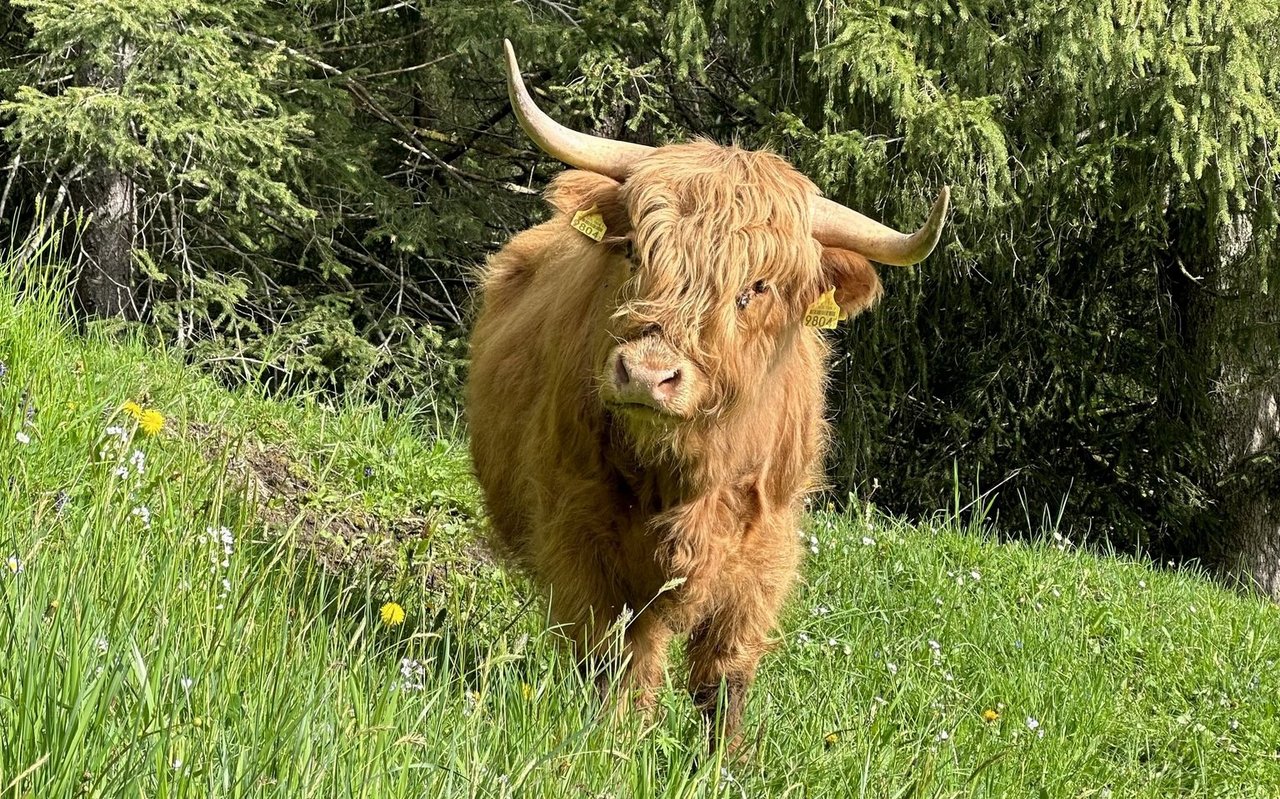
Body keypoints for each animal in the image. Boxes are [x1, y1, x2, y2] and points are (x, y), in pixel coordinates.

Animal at [471, 40, 952, 747]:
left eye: (756, 287)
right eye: (635, 253)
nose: (647, 374)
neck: (684, 473)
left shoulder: (761, 554)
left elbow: (724, 675)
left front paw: (726, 758)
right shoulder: (581, 537)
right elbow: (619, 659)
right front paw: (616, 744)